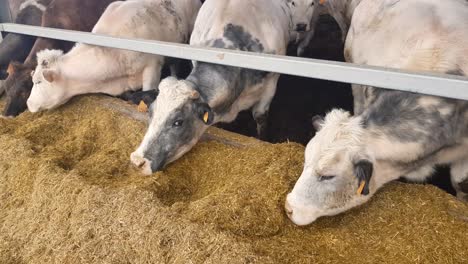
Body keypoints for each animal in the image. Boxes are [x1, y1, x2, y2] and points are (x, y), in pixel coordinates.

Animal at [130, 0, 320, 175]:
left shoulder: (271, 84)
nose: (138, 160)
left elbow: (260, 117)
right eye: (151, 112)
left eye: (178, 122)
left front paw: (263, 140)